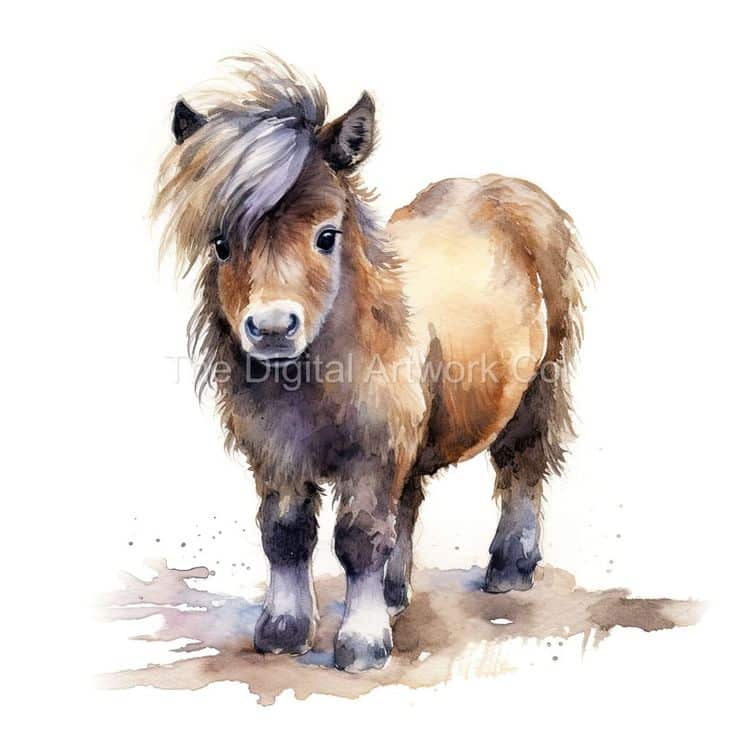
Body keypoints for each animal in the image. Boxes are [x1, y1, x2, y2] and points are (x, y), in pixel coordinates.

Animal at [153, 53, 592, 673]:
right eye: (220, 244)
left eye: (326, 235)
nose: (272, 329)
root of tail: (505, 187)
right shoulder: (277, 450)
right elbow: (285, 534)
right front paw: (284, 631)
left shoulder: (373, 449)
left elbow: (359, 537)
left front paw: (361, 645)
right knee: (410, 500)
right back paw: (394, 592)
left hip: (538, 388)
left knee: (522, 465)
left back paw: (508, 569)